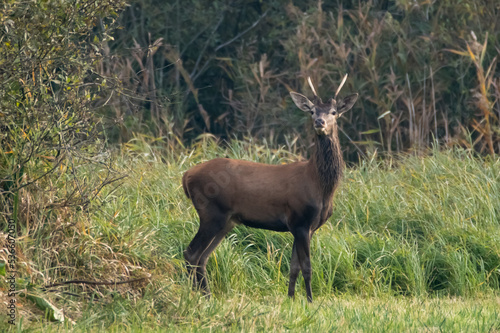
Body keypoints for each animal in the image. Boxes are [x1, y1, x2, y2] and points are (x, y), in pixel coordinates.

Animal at [182, 75, 358, 300]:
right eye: (312, 111)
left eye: (334, 112)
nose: (320, 122)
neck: (320, 187)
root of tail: (186, 176)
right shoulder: (300, 220)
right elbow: (307, 267)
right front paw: (310, 301)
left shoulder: (304, 226)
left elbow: (294, 267)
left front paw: (291, 299)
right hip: (211, 212)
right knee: (192, 253)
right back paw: (196, 296)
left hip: (227, 220)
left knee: (202, 257)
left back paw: (205, 295)